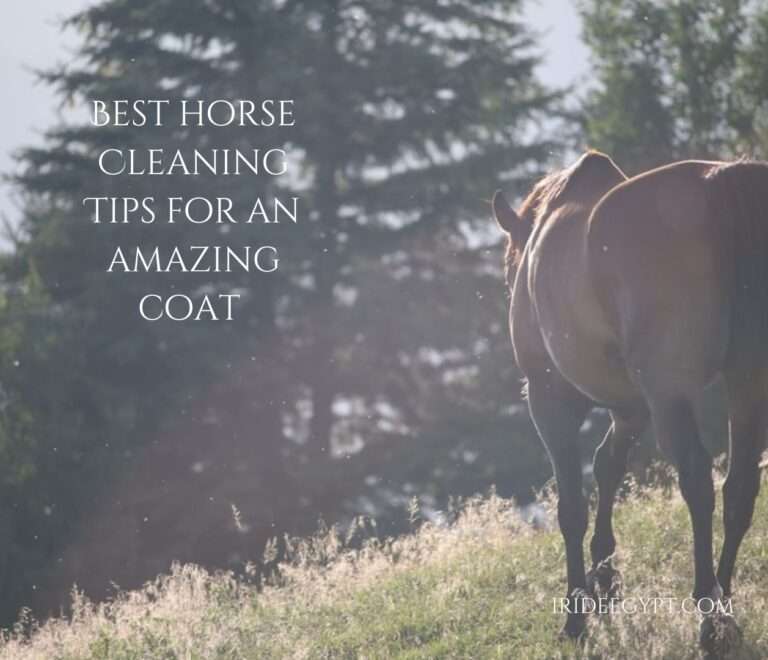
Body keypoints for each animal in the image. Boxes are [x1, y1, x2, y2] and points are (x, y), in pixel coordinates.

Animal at [496, 152, 764, 652]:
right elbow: (607, 466)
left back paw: (709, 616)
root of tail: (718, 185)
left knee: (697, 481)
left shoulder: (550, 400)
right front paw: (604, 581)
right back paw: (723, 602)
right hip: (748, 381)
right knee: (739, 488)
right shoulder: (631, 407)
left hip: (670, 394)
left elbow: (572, 506)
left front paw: (577, 615)